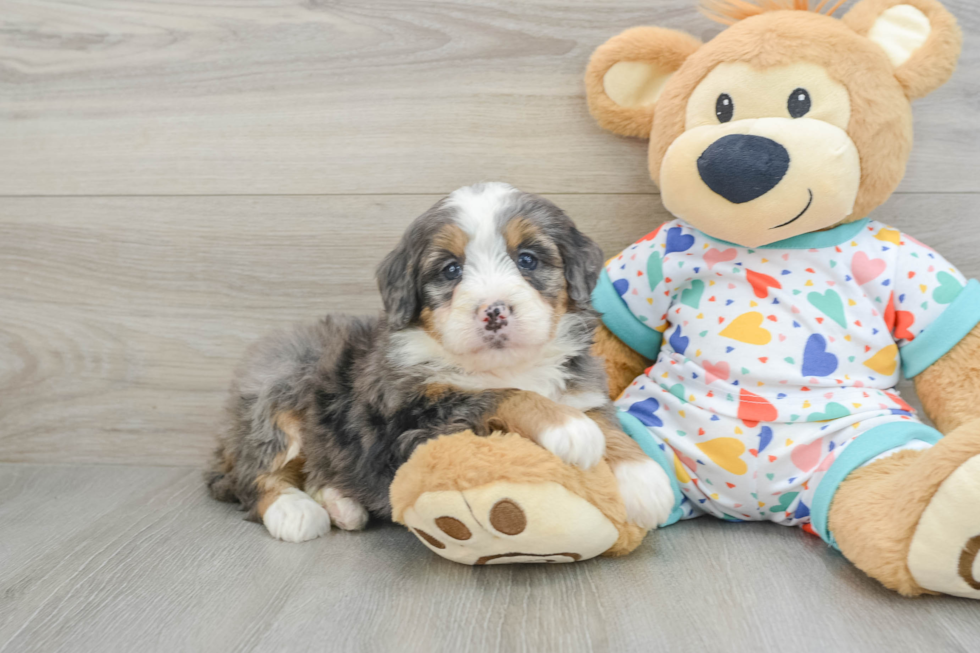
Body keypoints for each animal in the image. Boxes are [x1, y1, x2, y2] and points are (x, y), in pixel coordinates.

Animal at [207, 181, 672, 544]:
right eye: (451, 269)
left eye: (527, 259)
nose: (494, 311)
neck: (506, 365)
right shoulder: (412, 418)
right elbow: (506, 396)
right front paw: (567, 428)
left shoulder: (582, 386)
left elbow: (607, 423)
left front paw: (644, 481)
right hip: (280, 386)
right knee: (253, 474)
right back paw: (296, 511)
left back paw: (342, 503)